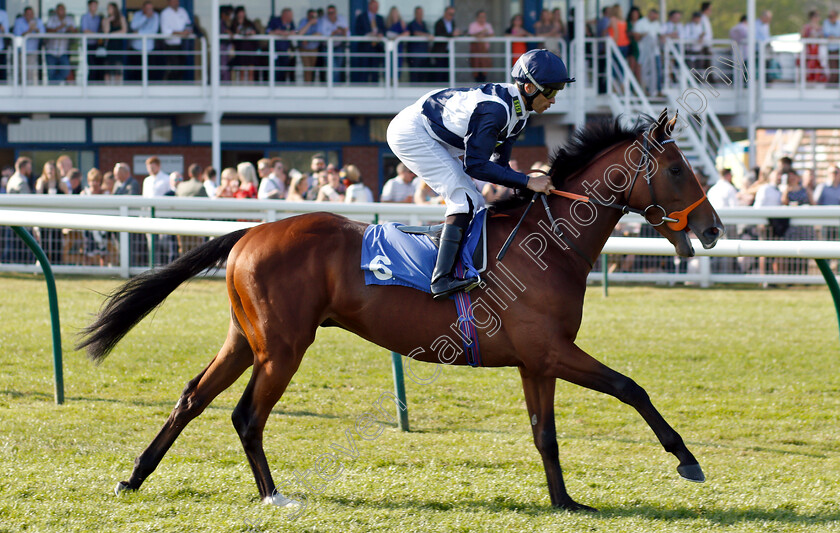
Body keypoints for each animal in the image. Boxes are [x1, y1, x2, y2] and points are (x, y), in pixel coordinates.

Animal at [79, 109, 720, 512]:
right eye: (677, 169)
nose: (713, 230)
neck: (550, 245)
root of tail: (250, 232)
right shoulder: (553, 351)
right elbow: (631, 387)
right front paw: (687, 460)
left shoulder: (536, 362)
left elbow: (546, 435)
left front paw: (564, 501)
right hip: (282, 348)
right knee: (246, 416)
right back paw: (271, 494)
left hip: (244, 340)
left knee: (192, 396)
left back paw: (133, 477)